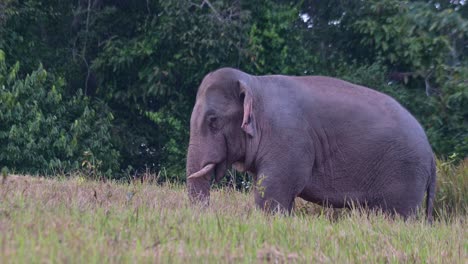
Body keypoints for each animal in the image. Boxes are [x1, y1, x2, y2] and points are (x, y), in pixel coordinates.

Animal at [185, 67, 436, 221]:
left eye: (213, 121)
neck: (255, 83)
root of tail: (431, 154)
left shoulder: (288, 139)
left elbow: (272, 191)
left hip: (404, 173)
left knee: (395, 215)